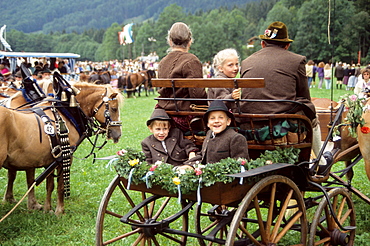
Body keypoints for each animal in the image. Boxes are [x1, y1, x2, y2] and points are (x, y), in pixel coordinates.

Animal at [1, 75, 123, 215]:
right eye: (114, 108)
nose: (118, 134)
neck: (65, 111)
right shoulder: (65, 157)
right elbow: (60, 185)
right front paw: (59, 211)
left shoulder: (50, 159)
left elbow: (49, 185)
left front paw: (47, 209)